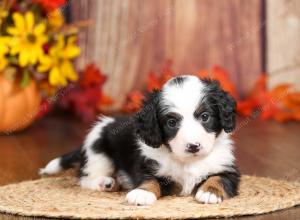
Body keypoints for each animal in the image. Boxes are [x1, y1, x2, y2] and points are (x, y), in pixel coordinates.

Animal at [41, 76, 240, 206]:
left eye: (205, 116)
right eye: (171, 122)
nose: (193, 146)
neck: (187, 161)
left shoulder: (228, 168)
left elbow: (219, 177)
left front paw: (209, 191)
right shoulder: (149, 166)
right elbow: (149, 179)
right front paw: (142, 193)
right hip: (98, 152)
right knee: (84, 179)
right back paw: (106, 183)